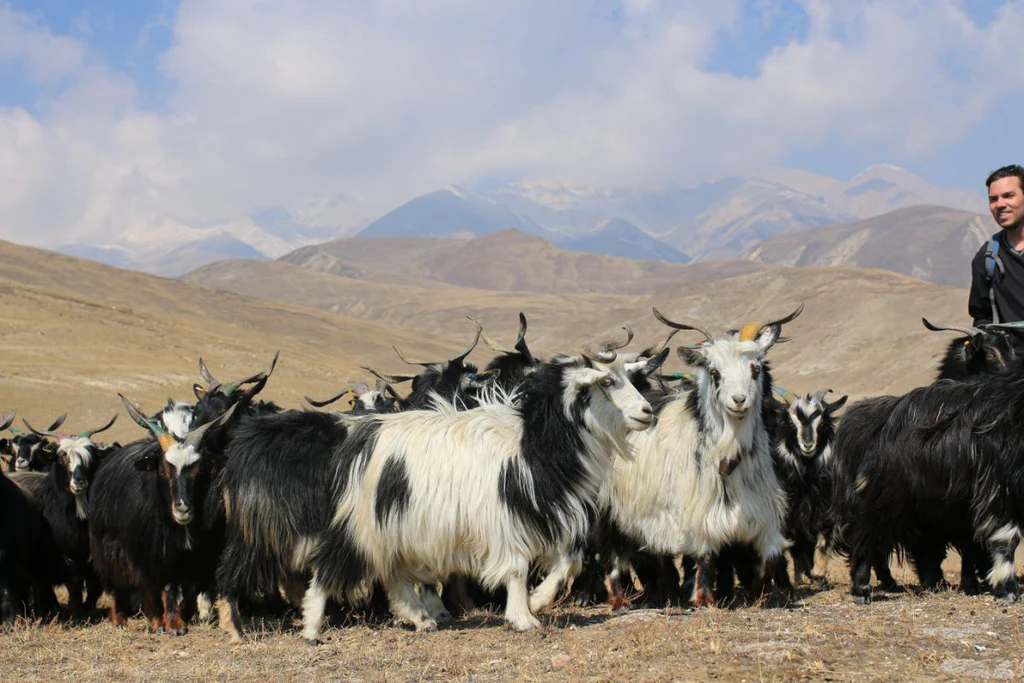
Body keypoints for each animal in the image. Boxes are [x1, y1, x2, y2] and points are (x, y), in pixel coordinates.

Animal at [598, 307, 798, 606]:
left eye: (756, 368)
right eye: (715, 372)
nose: (739, 400)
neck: (728, 457)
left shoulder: (763, 511)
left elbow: (771, 557)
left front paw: (756, 595)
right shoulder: (696, 511)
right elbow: (704, 555)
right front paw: (703, 599)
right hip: (608, 509)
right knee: (612, 554)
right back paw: (620, 599)